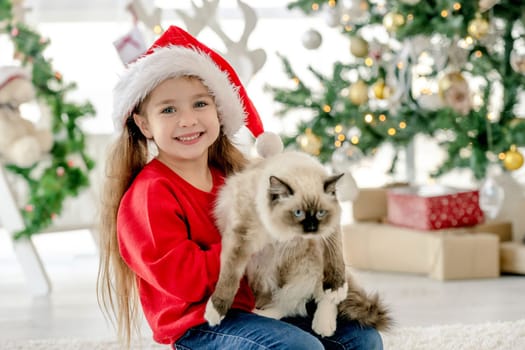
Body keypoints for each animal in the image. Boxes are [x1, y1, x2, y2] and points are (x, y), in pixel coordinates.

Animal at [204, 151, 388, 336]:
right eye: (298, 213)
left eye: (321, 213)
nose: (312, 228)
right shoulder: (242, 237)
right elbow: (229, 278)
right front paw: (215, 312)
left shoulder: (329, 231)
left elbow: (335, 257)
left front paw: (336, 290)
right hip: (264, 271)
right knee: (289, 303)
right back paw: (263, 313)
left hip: (308, 265)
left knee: (300, 299)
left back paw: (323, 326)